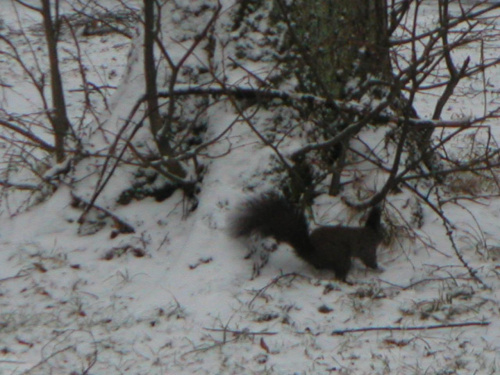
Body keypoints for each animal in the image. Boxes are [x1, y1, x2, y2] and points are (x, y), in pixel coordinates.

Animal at [229, 194, 382, 282]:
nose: (383, 236)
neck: (369, 232)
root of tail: (310, 253)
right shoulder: (366, 247)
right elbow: (368, 258)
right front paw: (377, 267)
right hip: (340, 256)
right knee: (339, 273)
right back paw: (347, 281)